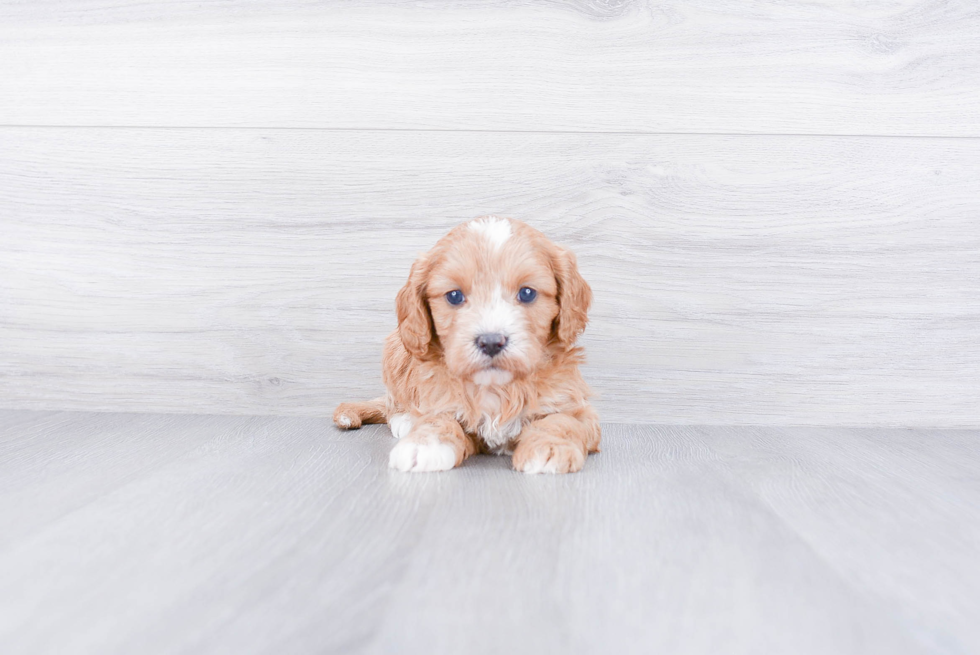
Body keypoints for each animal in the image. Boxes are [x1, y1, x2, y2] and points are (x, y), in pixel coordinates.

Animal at [334, 218, 600, 474]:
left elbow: (562, 422)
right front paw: (423, 444)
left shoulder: (578, 408)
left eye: (527, 293)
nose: (491, 342)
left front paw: (549, 448)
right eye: (454, 296)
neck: (496, 387)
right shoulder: (439, 399)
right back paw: (406, 419)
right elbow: (437, 420)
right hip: (396, 347)